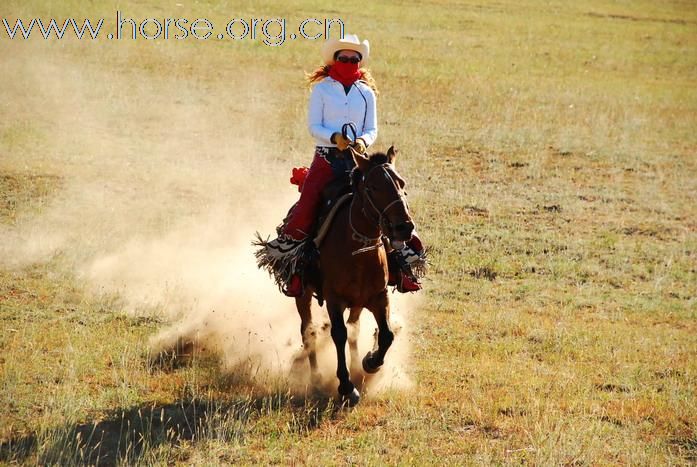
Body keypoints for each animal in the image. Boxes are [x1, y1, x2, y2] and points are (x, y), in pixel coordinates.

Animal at [294, 146, 414, 406]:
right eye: (373, 187)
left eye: (401, 183)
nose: (405, 228)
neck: (358, 250)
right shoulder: (333, 299)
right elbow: (338, 334)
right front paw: (347, 387)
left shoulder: (379, 296)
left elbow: (386, 335)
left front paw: (370, 363)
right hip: (302, 293)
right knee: (308, 330)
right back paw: (316, 377)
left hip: (358, 302)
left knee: (354, 330)